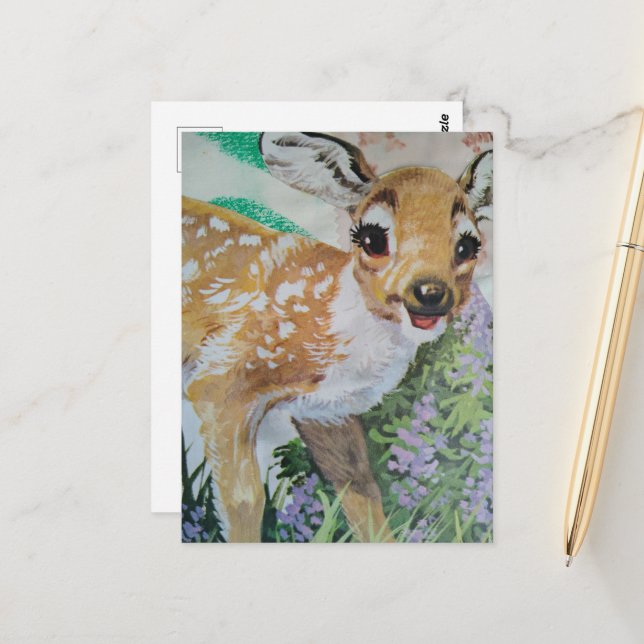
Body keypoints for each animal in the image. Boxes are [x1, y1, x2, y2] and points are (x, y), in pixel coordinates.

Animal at [181, 132, 493, 542]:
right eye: (373, 238)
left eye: (468, 245)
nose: (429, 291)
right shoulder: (223, 374)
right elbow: (245, 502)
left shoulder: (327, 411)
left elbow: (363, 495)